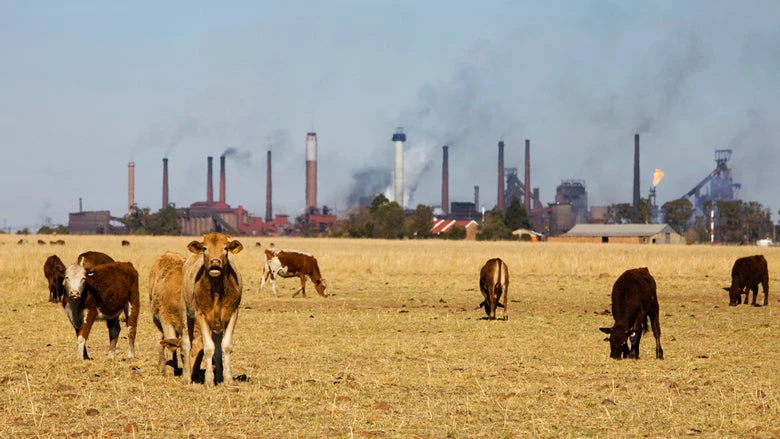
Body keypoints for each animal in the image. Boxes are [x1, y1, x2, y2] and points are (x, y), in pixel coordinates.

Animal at [181, 232, 242, 386]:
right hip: (185, 312)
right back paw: (186, 377)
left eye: (225, 248)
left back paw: (219, 376)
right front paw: (209, 380)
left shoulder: (233, 313)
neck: (216, 291)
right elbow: (208, 347)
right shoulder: (200, 315)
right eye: (205, 248)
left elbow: (225, 346)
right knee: (186, 343)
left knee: (218, 346)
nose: (215, 262)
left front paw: (228, 378)